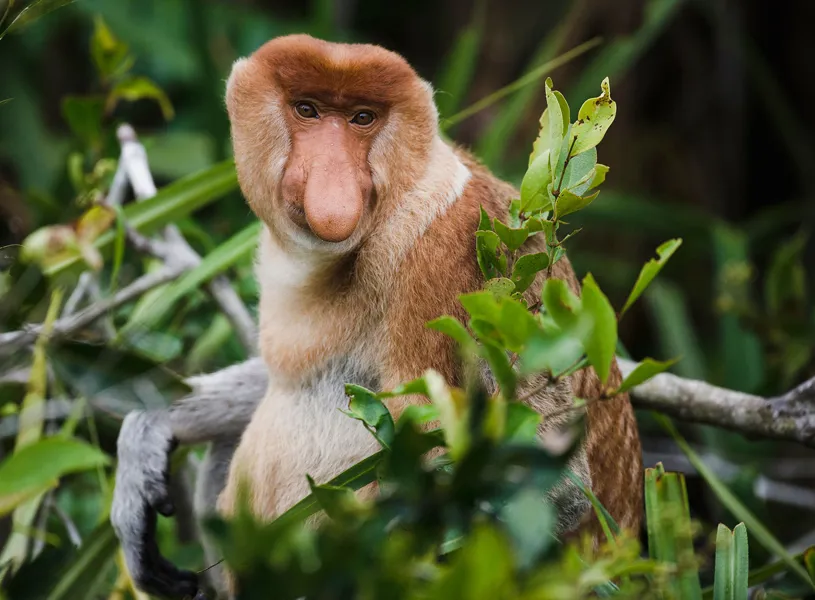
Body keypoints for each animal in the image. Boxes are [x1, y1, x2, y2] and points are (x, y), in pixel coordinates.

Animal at [110, 34, 643, 600]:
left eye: (362, 118)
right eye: (308, 109)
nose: (333, 183)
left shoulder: (453, 254)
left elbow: (551, 486)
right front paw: (149, 433)